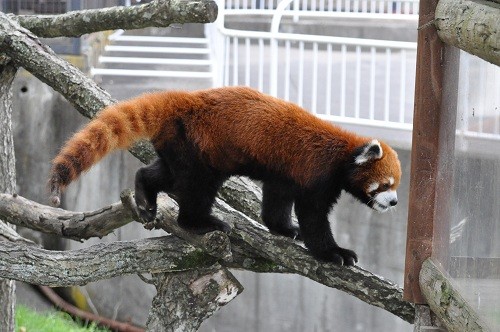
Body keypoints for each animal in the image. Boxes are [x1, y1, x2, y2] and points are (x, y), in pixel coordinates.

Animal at [49, 85, 402, 264]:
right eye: (385, 184)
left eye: (397, 185)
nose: (395, 202)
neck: (343, 153)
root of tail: (184, 97)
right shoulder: (315, 175)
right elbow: (313, 218)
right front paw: (334, 253)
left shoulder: (284, 175)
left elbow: (276, 202)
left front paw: (284, 228)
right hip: (200, 149)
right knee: (196, 189)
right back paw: (203, 223)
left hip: (179, 144)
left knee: (163, 173)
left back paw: (144, 193)